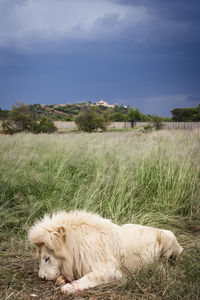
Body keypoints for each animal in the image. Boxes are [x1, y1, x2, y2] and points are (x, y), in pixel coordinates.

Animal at [28, 211, 183, 296]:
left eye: (47, 258)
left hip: (169, 237)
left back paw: (159, 267)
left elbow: (89, 278)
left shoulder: (113, 271)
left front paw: (69, 287)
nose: (41, 277)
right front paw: (61, 279)